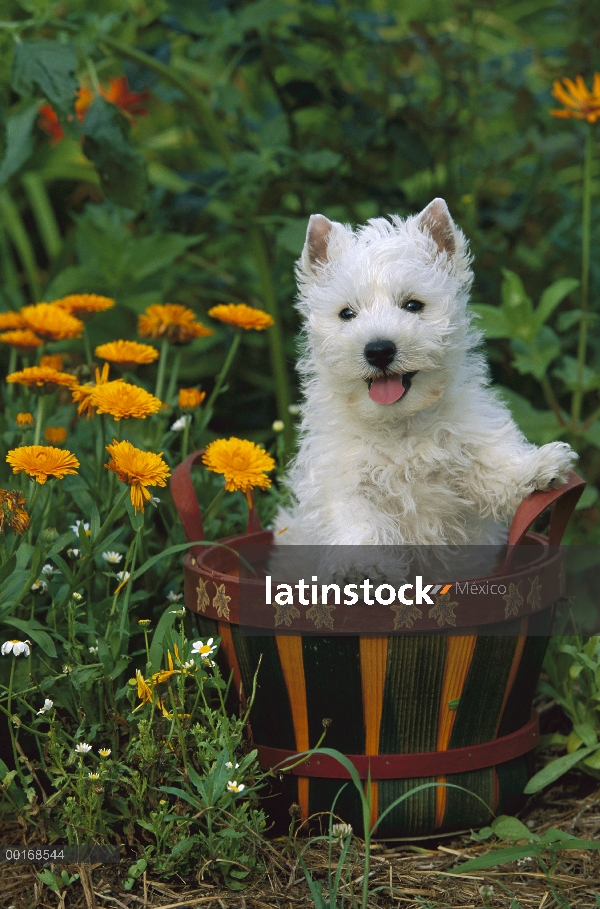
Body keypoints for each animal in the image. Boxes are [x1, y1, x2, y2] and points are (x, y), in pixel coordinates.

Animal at [276, 198, 576, 556]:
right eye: (346, 313)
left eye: (413, 305)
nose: (379, 350)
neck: (399, 425)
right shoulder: (341, 479)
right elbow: (359, 522)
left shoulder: (470, 447)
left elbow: (496, 469)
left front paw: (541, 465)